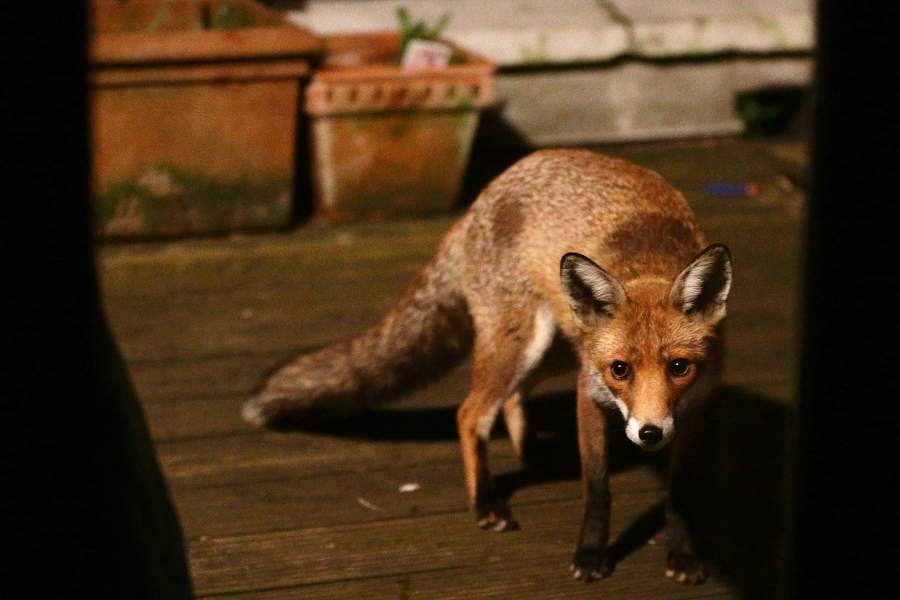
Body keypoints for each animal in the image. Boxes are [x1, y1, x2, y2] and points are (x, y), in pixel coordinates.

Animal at [241, 150, 732, 584]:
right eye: (620, 370)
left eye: (679, 367)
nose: (649, 433)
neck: (647, 265)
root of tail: (486, 193)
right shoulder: (590, 389)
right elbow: (597, 488)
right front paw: (591, 554)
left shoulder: (693, 409)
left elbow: (680, 492)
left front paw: (683, 555)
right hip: (521, 346)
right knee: (471, 412)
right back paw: (485, 504)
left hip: (555, 349)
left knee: (514, 396)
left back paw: (531, 452)